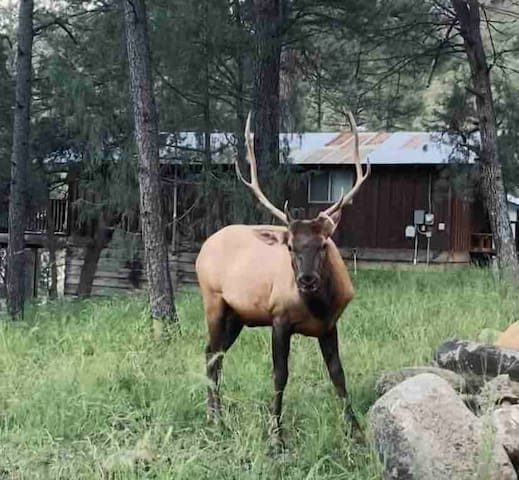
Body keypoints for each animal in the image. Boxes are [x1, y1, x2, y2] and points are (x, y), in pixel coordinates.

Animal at [195, 110, 370, 448]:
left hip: (238, 315)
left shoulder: (330, 325)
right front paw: (275, 436)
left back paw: (213, 415)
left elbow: (338, 374)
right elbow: (280, 375)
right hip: (213, 300)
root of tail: (204, 246)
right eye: (290, 245)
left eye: (324, 244)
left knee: (214, 351)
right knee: (212, 355)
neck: (317, 308)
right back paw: (216, 418)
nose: (306, 280)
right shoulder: (279, 318)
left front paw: (356, 432)